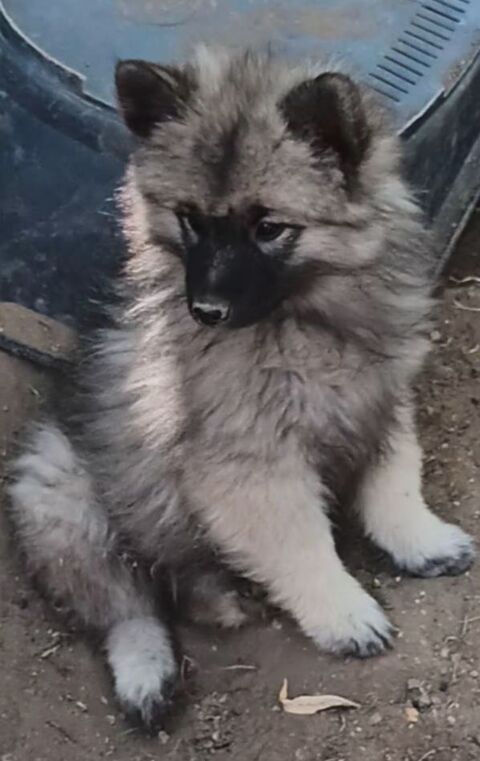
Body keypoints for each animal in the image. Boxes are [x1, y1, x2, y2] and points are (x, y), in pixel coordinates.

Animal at [8, 47, 474, 729]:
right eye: (190, 220)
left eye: (269, 227)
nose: (206, 310)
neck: (307, 319)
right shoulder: (252, 465)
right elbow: (303, 544)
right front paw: (344, 612)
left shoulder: (383, 404)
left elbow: (395, 487)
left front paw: (421, 542)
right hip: (60, 497)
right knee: (126, 607)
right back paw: (149, 670)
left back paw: (221, 596)